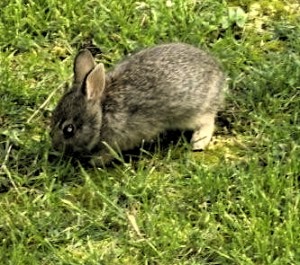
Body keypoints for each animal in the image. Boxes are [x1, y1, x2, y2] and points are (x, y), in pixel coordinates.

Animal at [50, 42, 226, 164]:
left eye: (69, 129)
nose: (56, 147)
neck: (102, 113)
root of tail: (219, 73)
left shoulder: (122, 137)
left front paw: (96, 160)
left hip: (194, 111)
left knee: (208, 121)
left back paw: (198, 142)